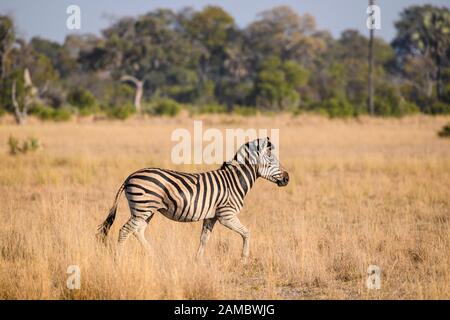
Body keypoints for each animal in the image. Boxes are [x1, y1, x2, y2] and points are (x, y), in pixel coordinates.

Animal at [96, 137, 290, 260]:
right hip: (143, 207)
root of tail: (130, 176)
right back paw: (118, 259)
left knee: (137, 231)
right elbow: (247, 232)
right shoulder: (226, 215)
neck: (234, 181)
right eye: (271, 160)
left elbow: (204, 238)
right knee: (125, 230)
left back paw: (153, 255)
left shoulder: (212, 216)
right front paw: (244, 258)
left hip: (146, 210)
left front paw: (197, 260)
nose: (287, 178)